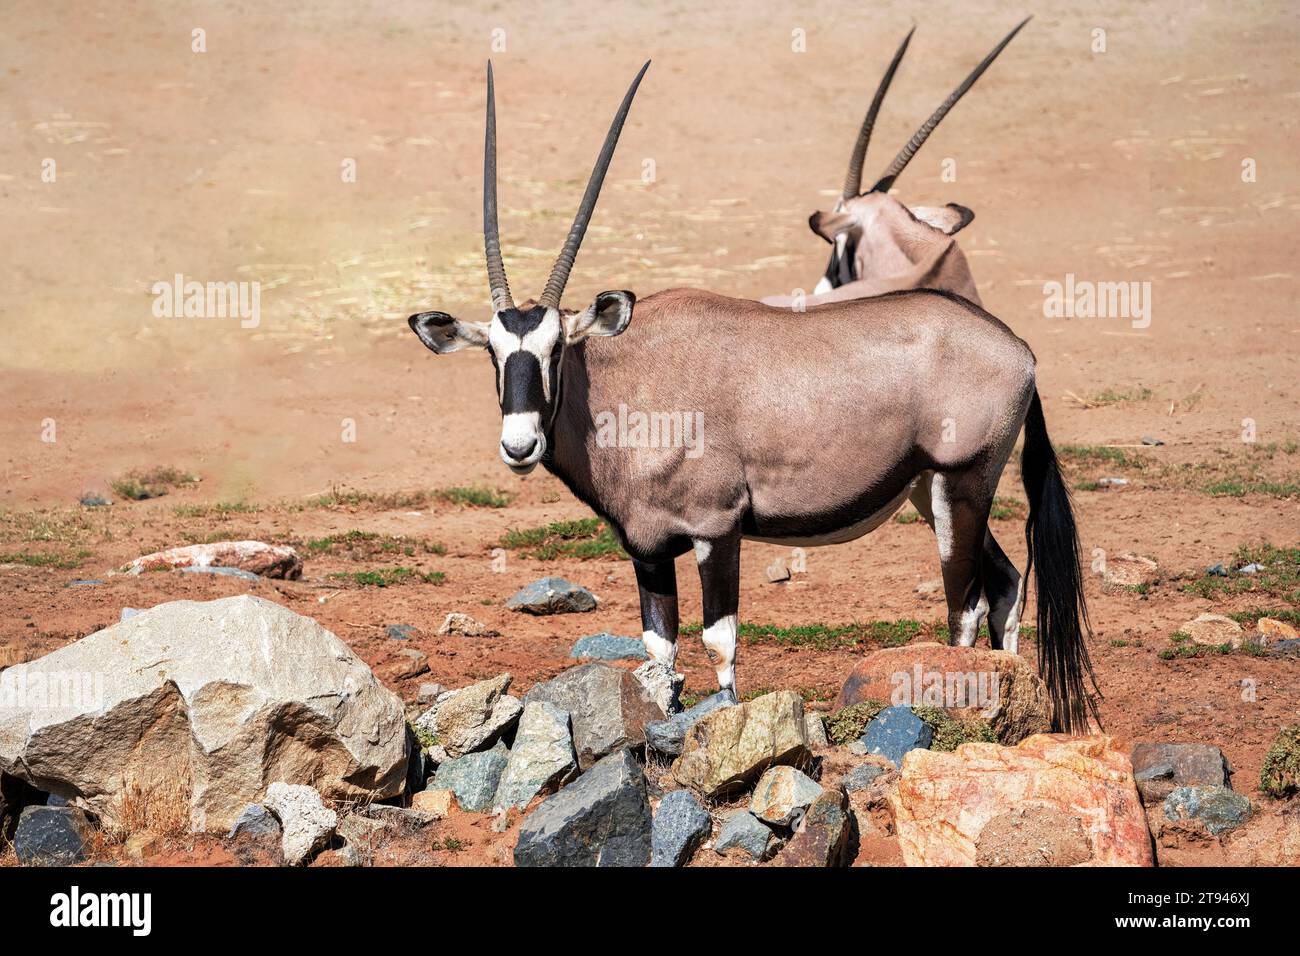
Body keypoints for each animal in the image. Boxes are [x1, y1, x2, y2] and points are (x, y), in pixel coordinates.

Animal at [408, 62, 1099, 731]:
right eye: (495, 353)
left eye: (555, 348)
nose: (519, 444)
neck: (628, 382)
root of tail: (1017, 347)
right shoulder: (647, 548)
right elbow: (659, 651)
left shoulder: (718, 530)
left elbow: (720, 641)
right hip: (929, 491)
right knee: (1006, 583)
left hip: (962, 483)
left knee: (966, 604)